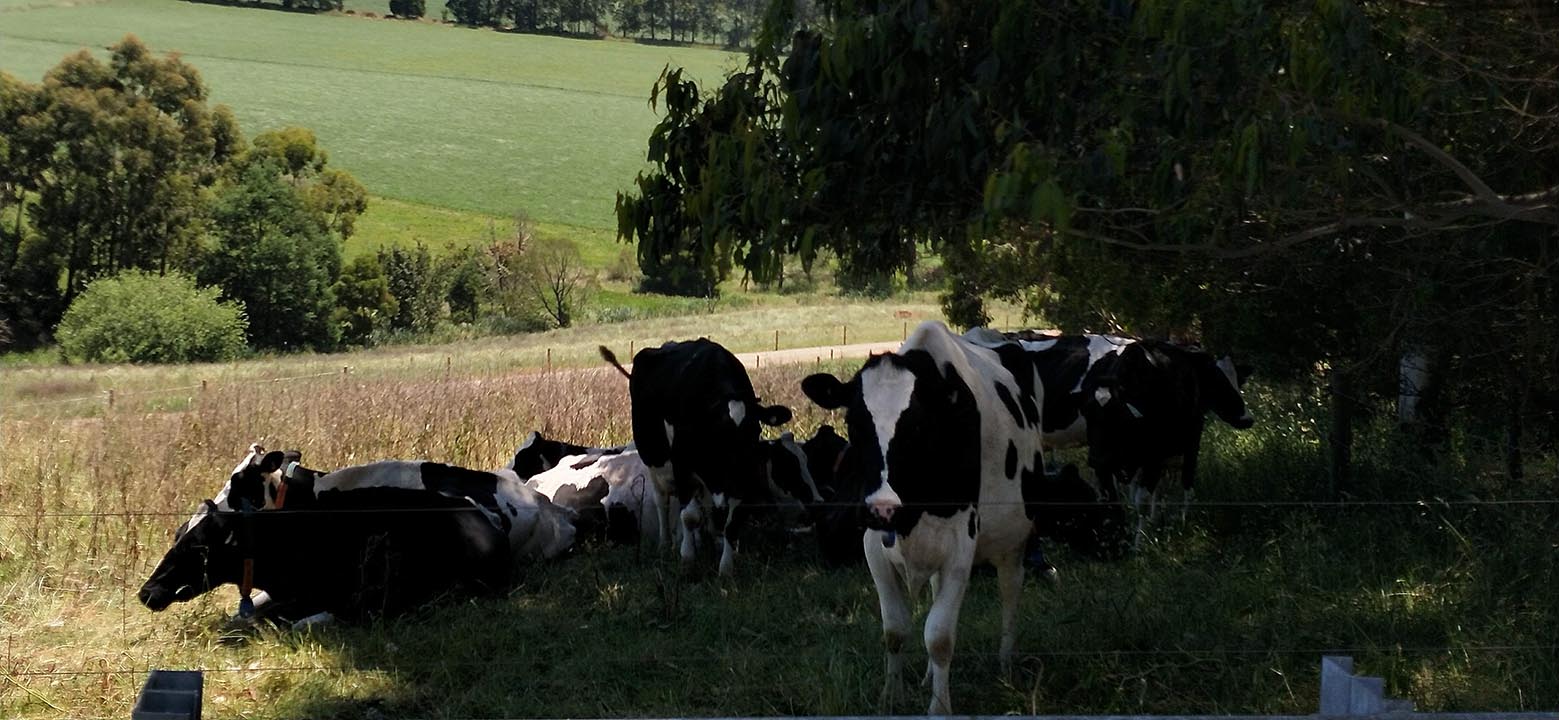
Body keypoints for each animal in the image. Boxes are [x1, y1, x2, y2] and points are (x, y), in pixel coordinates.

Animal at [595, 339, 791, 576]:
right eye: (717, 436)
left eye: (755, 432)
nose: (739, 482)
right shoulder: (682, 465)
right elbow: (688, 516)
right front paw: (687, 559)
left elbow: (730, 521)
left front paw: (725, 566)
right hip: (653, 459)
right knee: (663, 501)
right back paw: (666, 543)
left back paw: (710, 539)